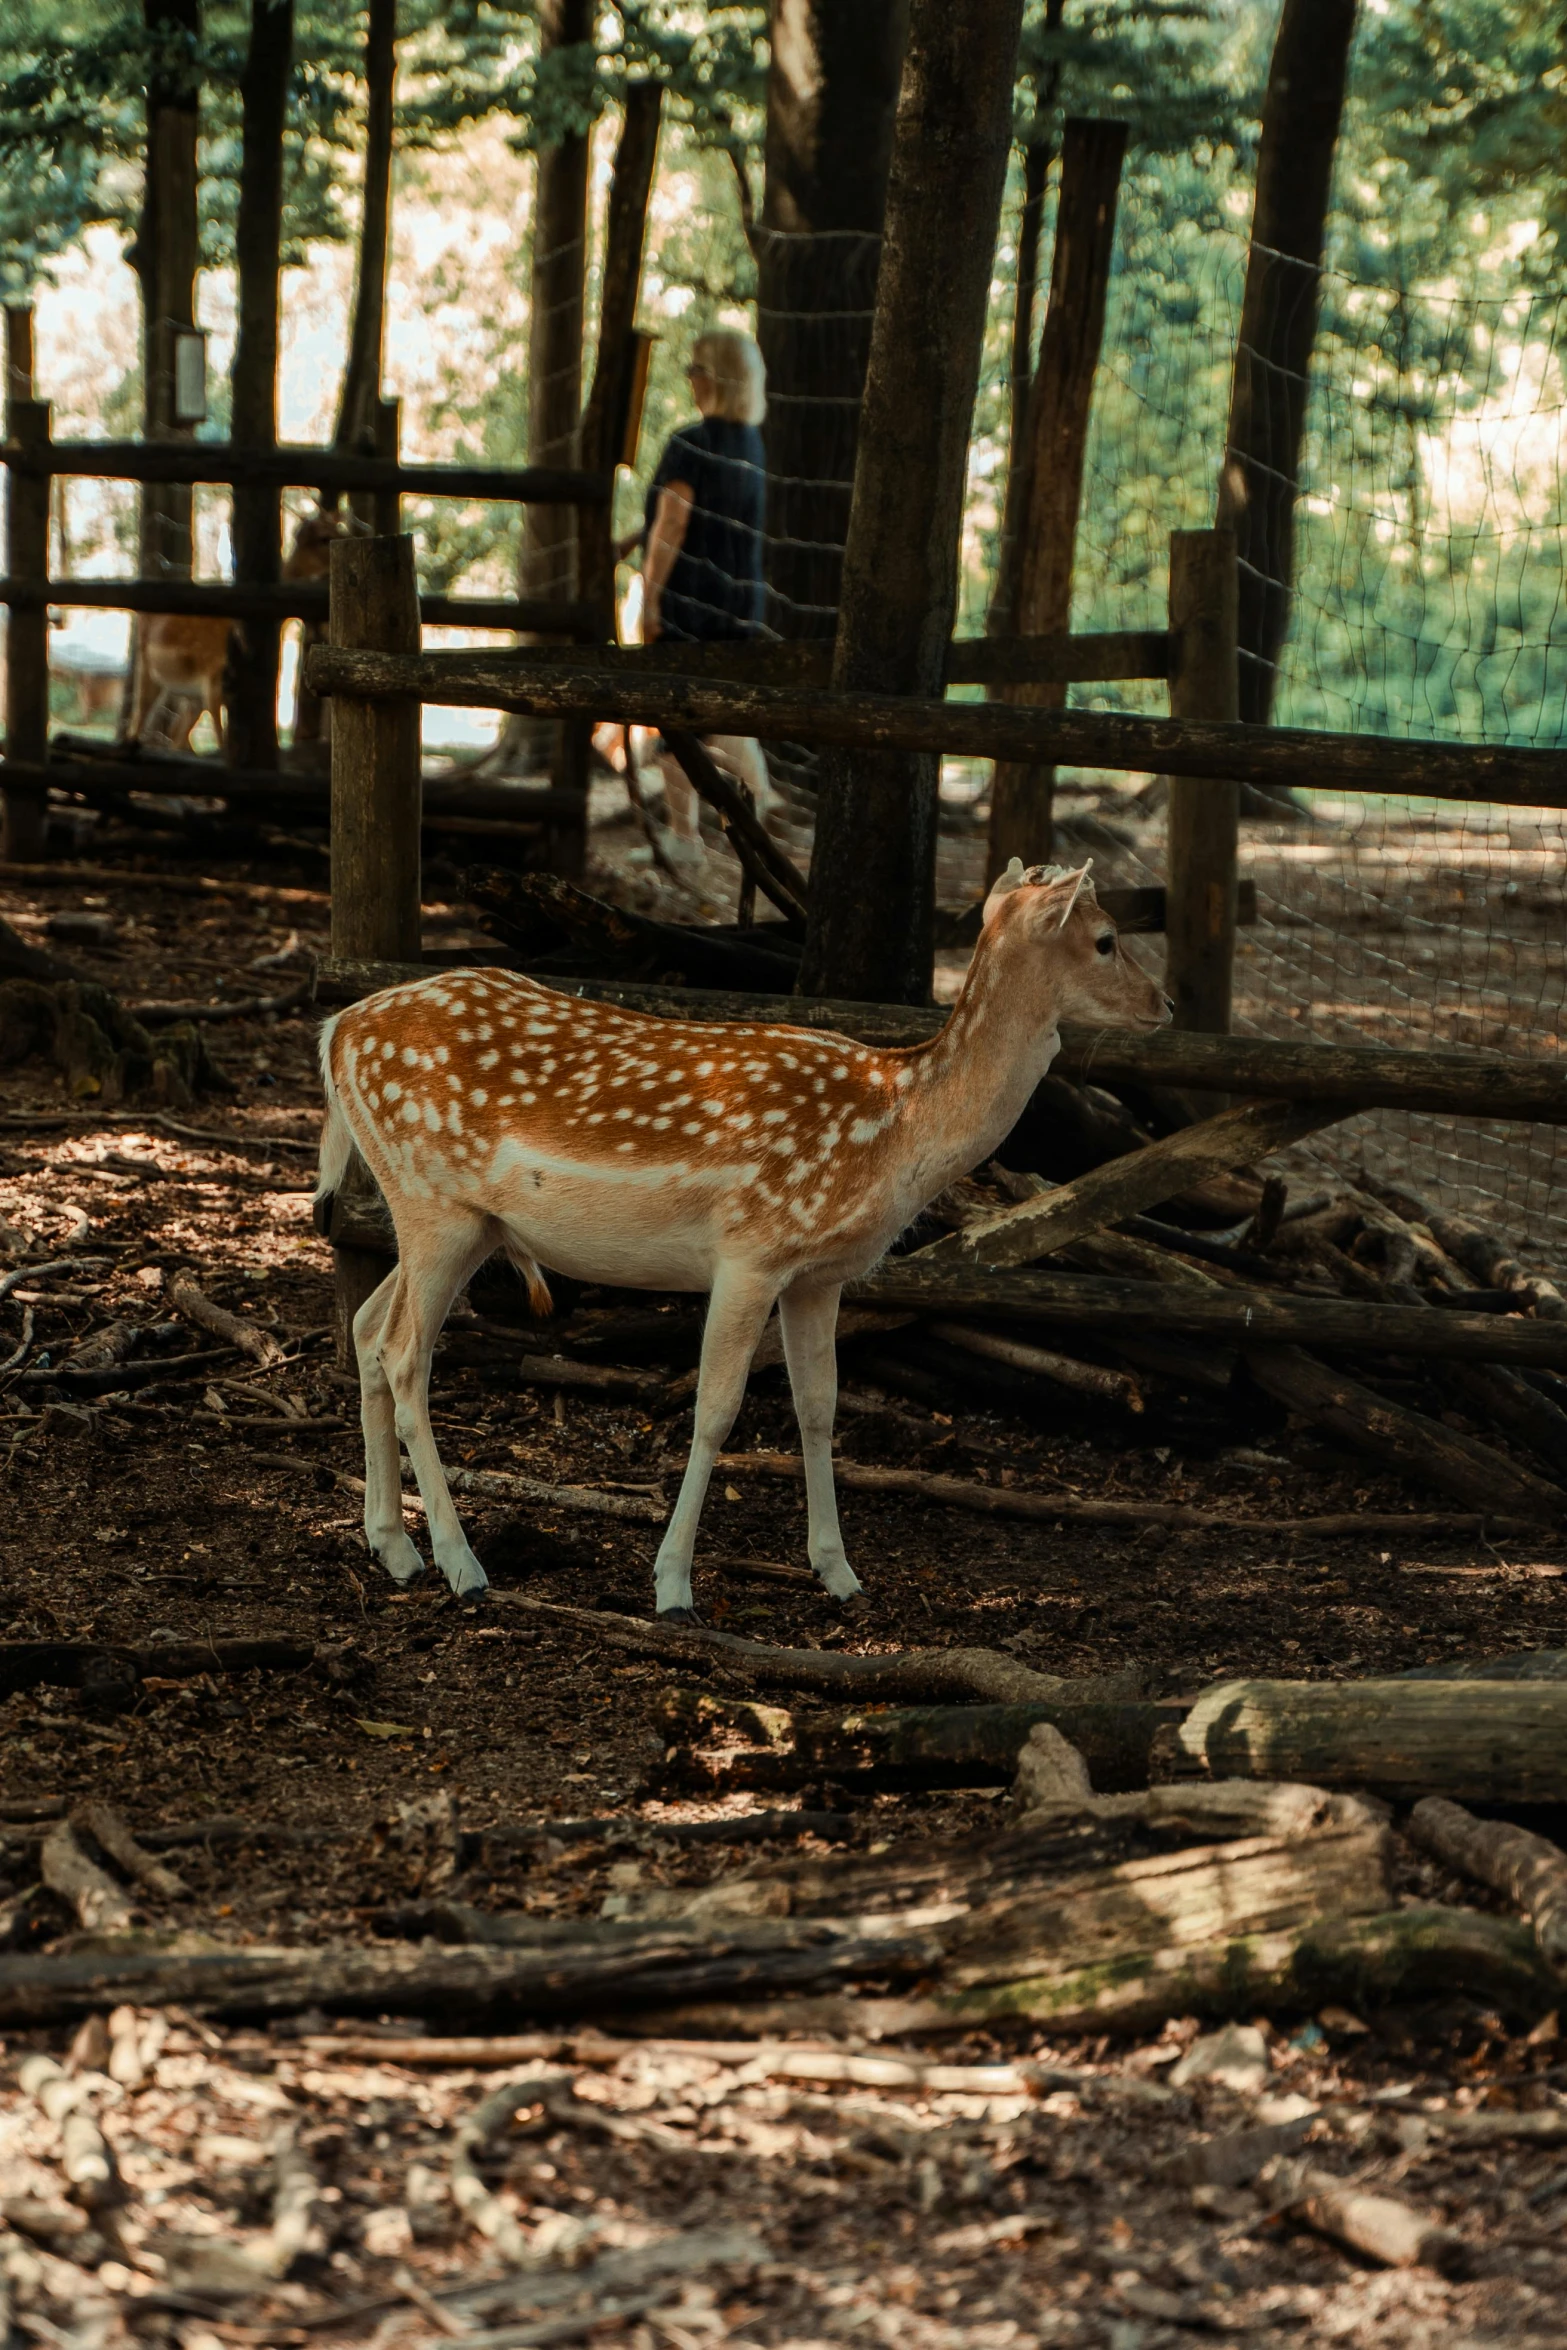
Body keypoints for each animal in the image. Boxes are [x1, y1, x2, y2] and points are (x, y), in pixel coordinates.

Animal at [319, 864, 1169, 1616]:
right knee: (403, 1354)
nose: (1162, 1004)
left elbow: (818, 1406)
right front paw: (672, 1588)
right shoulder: (750, 1251)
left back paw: (392, 1546)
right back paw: (462, 1566)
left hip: (460, 1220)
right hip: (433, 1201)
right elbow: (716, 1408)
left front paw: (839, 1574)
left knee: (365, 1328)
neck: (894, 1132)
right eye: (1105, 938)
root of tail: (335, 1030)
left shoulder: (820, 1274)